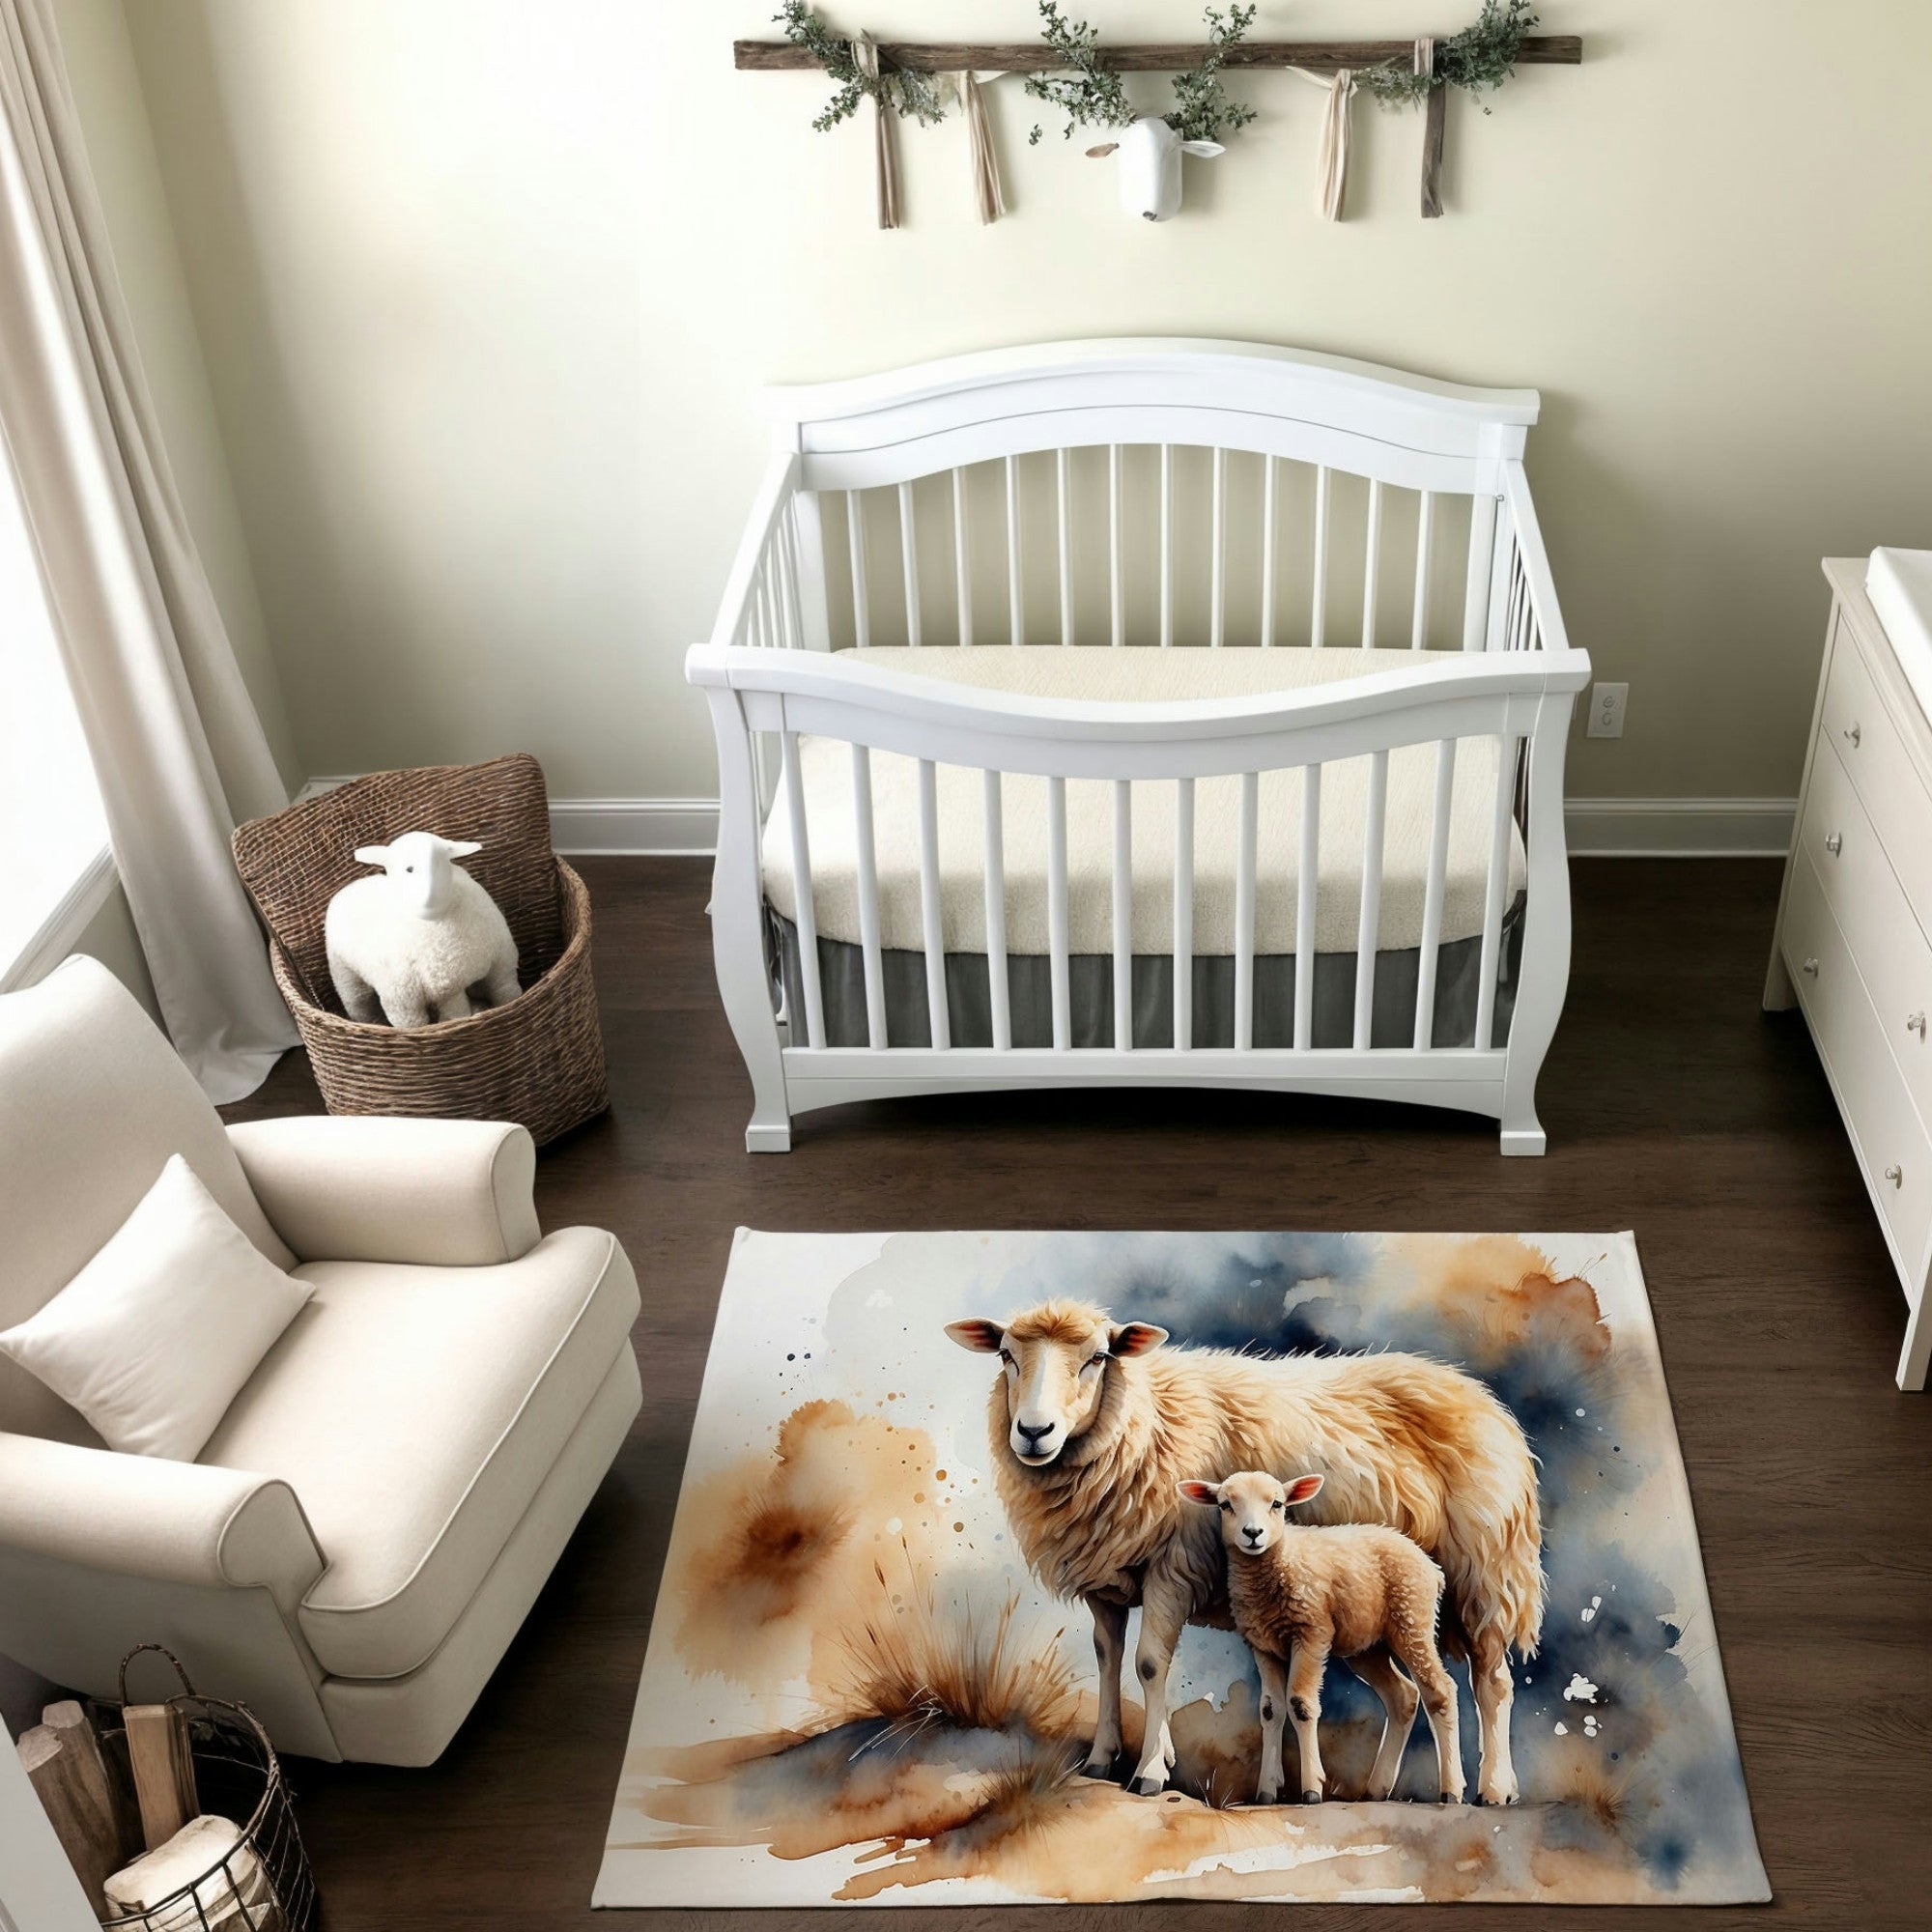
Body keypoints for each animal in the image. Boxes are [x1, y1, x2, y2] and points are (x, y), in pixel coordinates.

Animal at [599, 1229, 1770, 1909]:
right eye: (1006, 1354)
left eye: (1096, 1356)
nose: (1031, 1433)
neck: (1135, 1424)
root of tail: (1483, 1399)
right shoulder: (1110, 1580)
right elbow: (1110, 1662)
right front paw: (1101, 1755)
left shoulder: (1167, 1564)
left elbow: (1159, 1669)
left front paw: (1155, 1770)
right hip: (1401, 1604)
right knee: (1405, 1692)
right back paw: (1381, 1783)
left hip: (1482, 1571)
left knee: (1482, 1683)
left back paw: (1486, 1785)